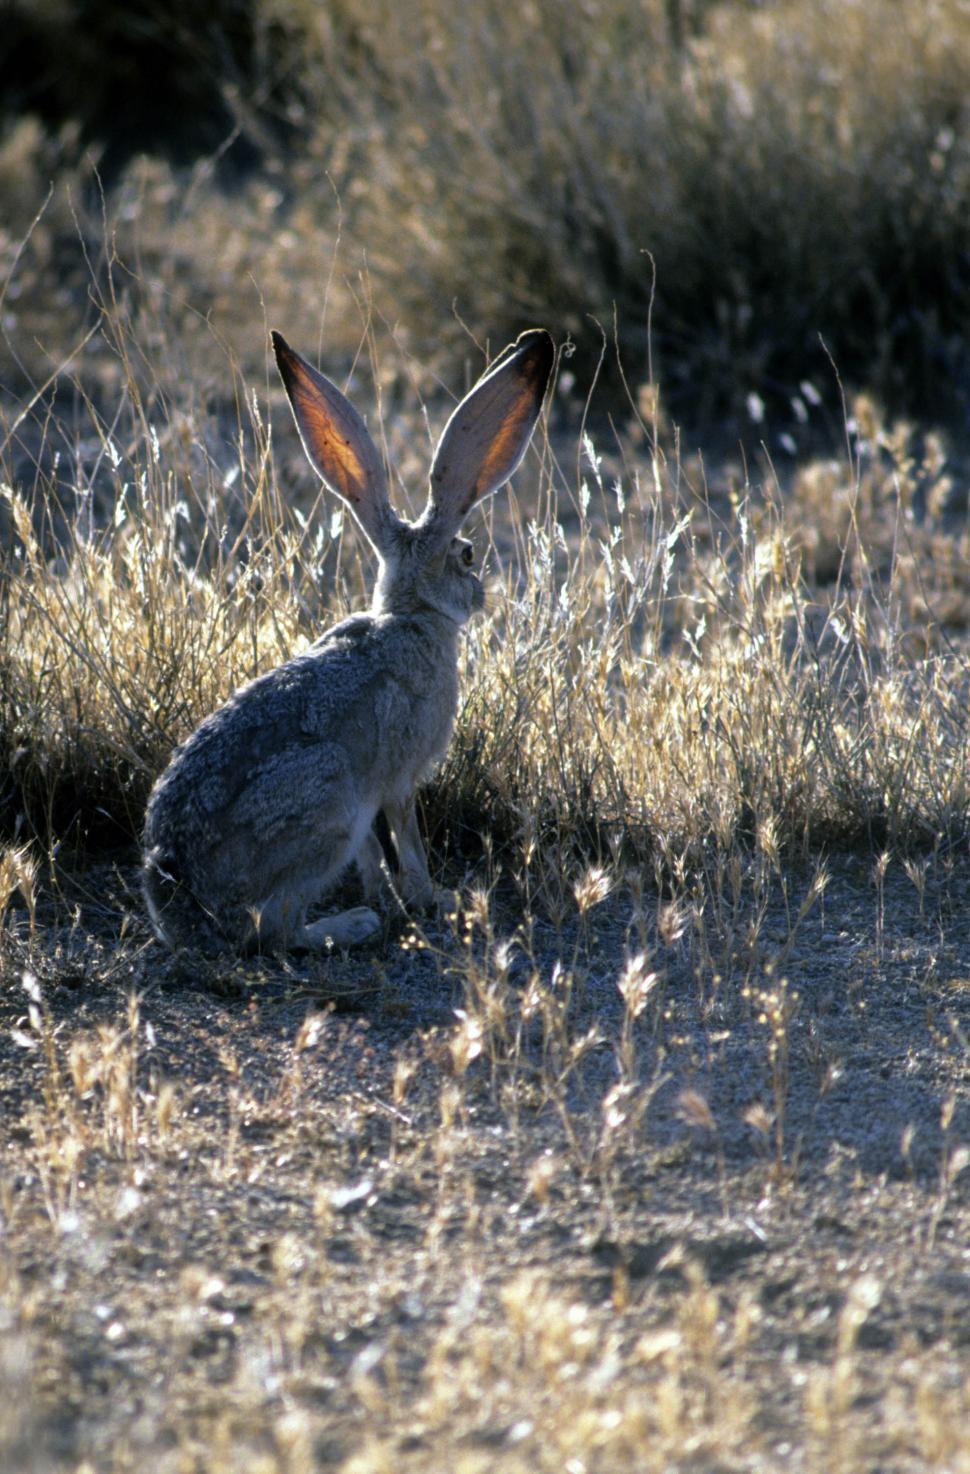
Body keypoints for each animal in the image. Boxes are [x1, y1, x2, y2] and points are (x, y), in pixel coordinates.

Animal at [142, 327, 554, 953]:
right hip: (327, 801)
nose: (481, 591)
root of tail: (178, 903)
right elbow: (407, 838)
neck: (410, 617)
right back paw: (351, 925)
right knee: (271, 929)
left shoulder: (371, 804)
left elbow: (373, 857)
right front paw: (433, 899)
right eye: (466, 555)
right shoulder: (398, 780)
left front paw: (389, 895)